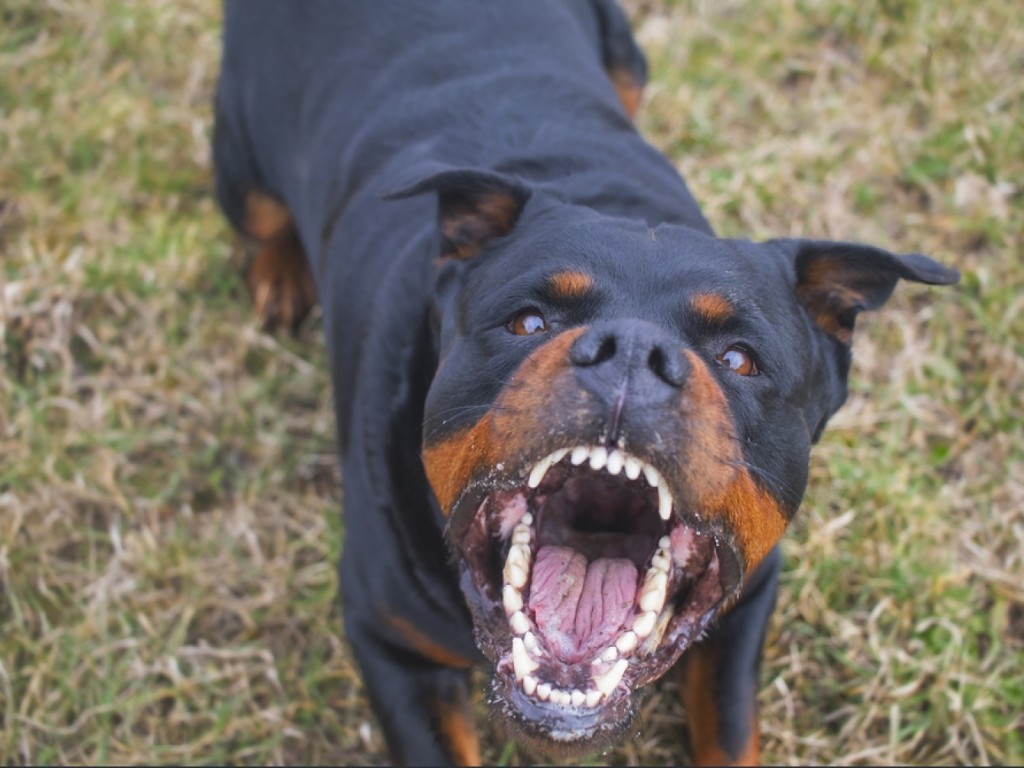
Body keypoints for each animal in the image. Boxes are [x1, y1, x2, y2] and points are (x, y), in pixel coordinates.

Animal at [211, 3, 954, 765]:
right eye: (529, 321)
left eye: (740, 360)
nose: (632, 351)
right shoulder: (388, 637)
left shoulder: (748, 601)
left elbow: (731, 734)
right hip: (242, 169)